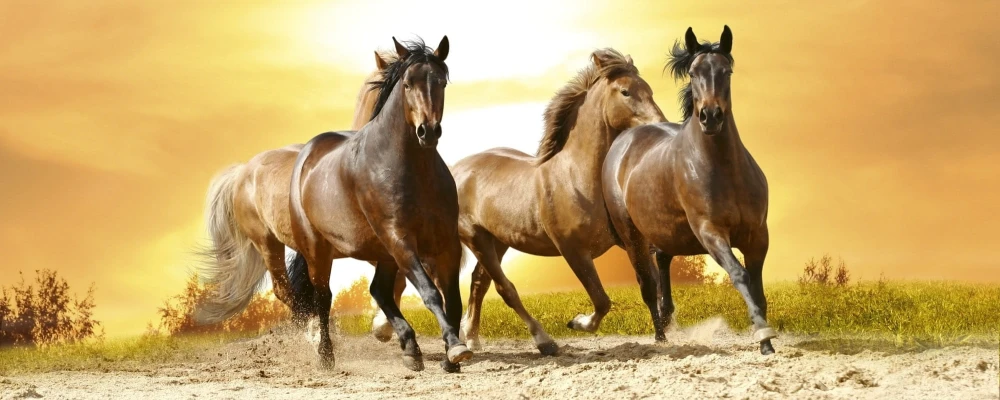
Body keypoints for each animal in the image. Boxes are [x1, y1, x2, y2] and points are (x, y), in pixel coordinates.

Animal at [287, 36, 472, 372]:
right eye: (408, 84)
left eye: (441, 82)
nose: (428, 131)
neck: (412, 170)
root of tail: (307, 154)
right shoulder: (401, 239)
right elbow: (430, 293)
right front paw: (455, 348)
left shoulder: (446, 243)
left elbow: (452, 298)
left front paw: (451, 356)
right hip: (319, 251)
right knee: (324, 298)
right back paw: (326, 356)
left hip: (383, 252)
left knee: (379, 291)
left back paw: (410, 349)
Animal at [438, 49, 666, 355]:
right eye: (625, 92)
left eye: (649, 90)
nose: (659, 124)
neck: (577, 177)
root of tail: (457, 169)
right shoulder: (573, 250)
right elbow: (601, 300)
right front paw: (577, 322)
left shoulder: (632, 241)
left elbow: (649, 286)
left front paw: (663, 336)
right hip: (477, 239)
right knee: (505, 288)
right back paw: (544, 341)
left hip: (498, 241)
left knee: (479, 282)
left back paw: (471, 337)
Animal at [602, 25, 778, 355]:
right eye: (694, 73)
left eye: (726, 71)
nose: (710, 116)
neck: (724, 170)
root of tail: (623, 140)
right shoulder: (710, 231)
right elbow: (740, 275)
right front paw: (763, 335)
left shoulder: (758, 235)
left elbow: (758, 286)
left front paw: (766, 338)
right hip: (632, 237)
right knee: (647, 284)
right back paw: (660, 337)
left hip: (666, 231)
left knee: (662, 262)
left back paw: (667, 318)